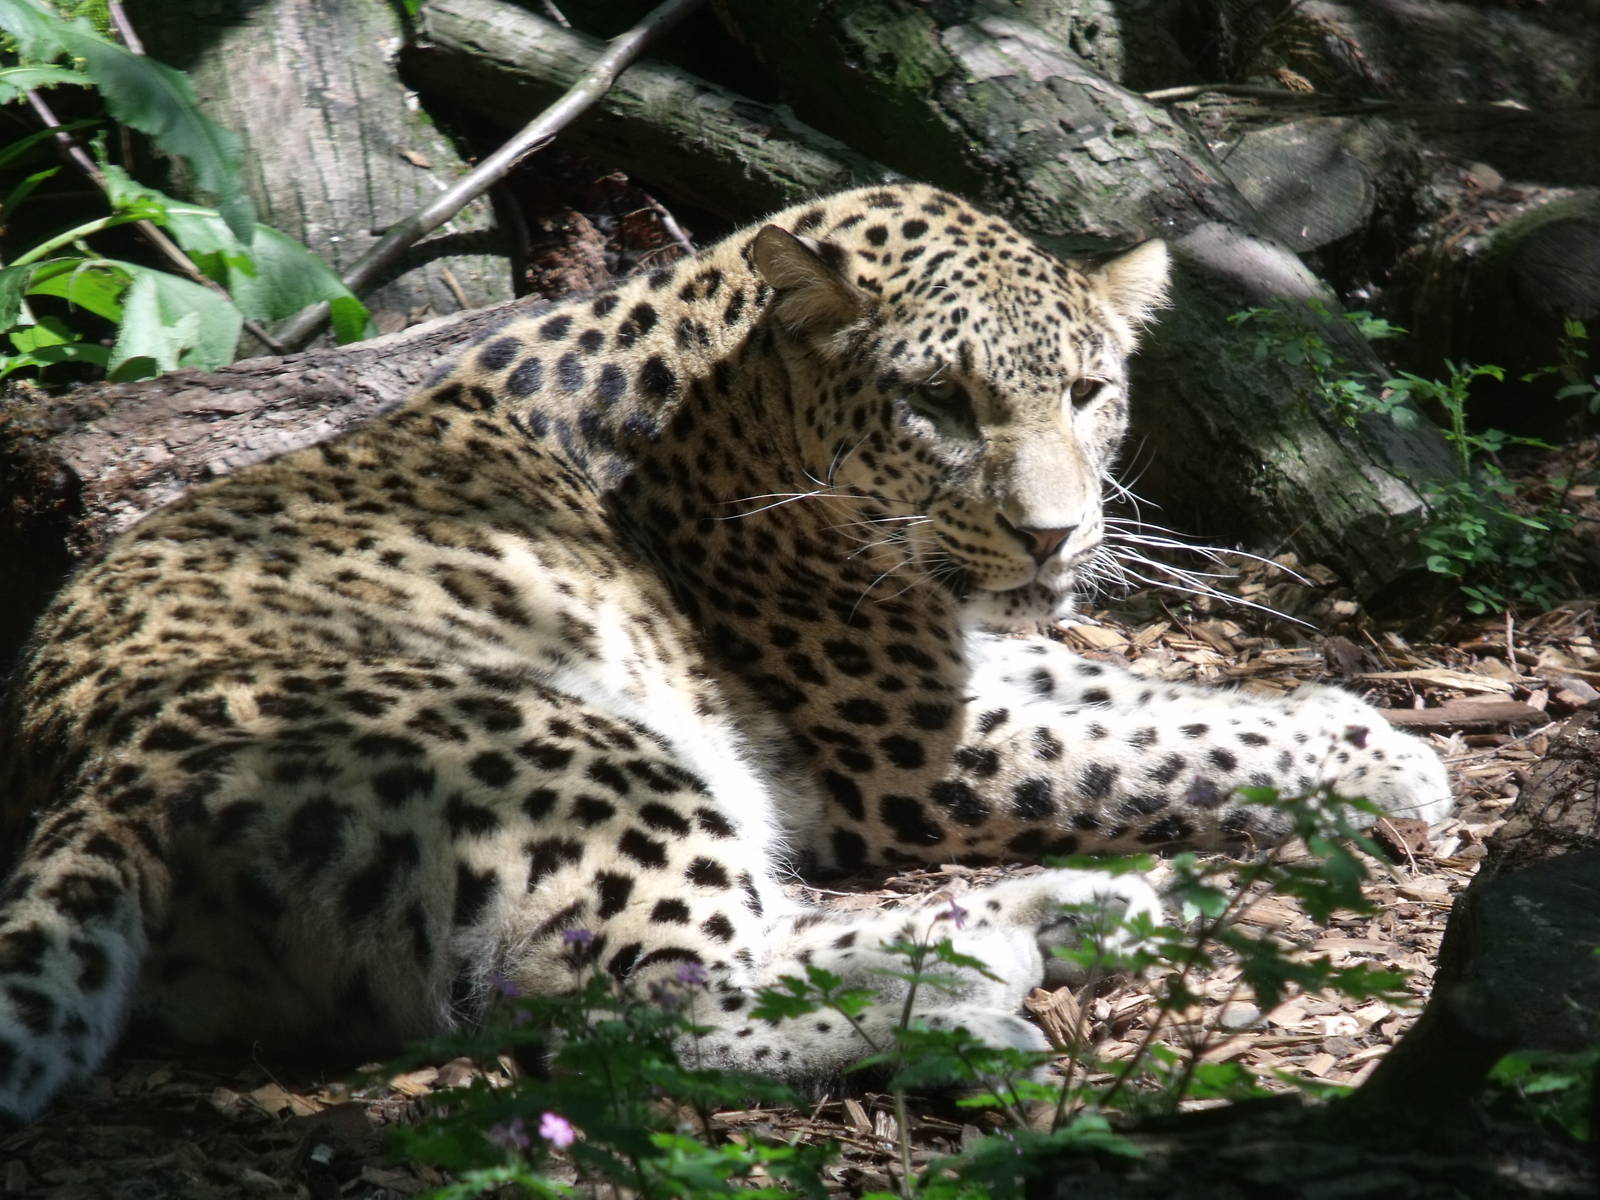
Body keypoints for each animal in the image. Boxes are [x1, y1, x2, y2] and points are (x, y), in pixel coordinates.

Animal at [0, 183, 1453, 1122]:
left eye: (1090, 395)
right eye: (939, 403)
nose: (1051, 535)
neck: (738, 379)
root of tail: (101, 779)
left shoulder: (960, 659)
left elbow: (1153, 697)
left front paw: (1361, 729)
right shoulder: (919, 745)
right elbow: (1160, 739)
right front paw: (1390, 770)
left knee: (764, 933)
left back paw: (1073, 921)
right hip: (585, 751)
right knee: (648, 1015)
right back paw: (976, 1006)